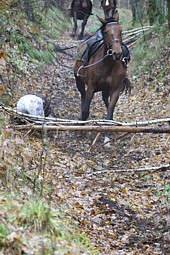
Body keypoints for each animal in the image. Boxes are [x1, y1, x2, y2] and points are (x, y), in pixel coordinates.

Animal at [74, 16, 127, 145]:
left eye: (121, 31)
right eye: (106, 32)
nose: (117, 53)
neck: (109, 65)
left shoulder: (115, 90)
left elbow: (109, 114)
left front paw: (107, 137)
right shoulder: (91, 87)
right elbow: (86, 110)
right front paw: (81, 129)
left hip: (105, 90)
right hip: (79, 82)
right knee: (83, 97)